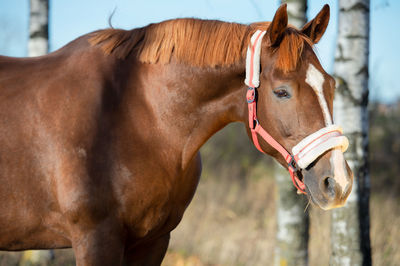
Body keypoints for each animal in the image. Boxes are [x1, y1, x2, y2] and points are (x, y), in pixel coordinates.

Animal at [0, 4, 352, 266]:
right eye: (281, 92)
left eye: (332, 84)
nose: (338, 183)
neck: (135, 115)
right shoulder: (95, 239)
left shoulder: (153, 240)